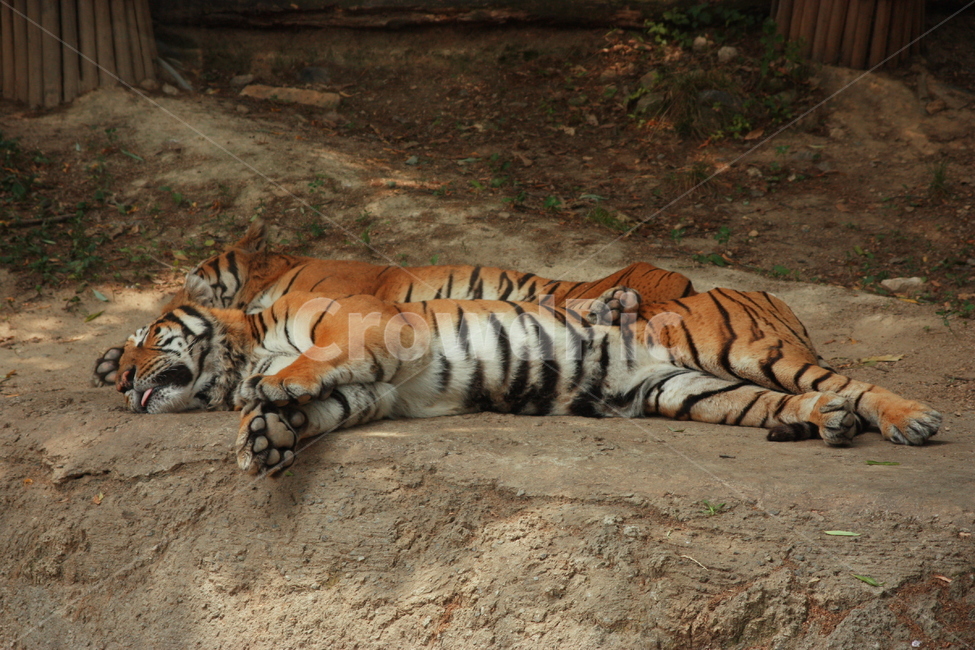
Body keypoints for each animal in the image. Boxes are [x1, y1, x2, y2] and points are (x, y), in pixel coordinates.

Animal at [93, 220, 697, 386]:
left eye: (188, 281)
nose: (169, 295)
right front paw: (111, 360)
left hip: (605, 281)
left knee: (657, 276)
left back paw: (621, 305)